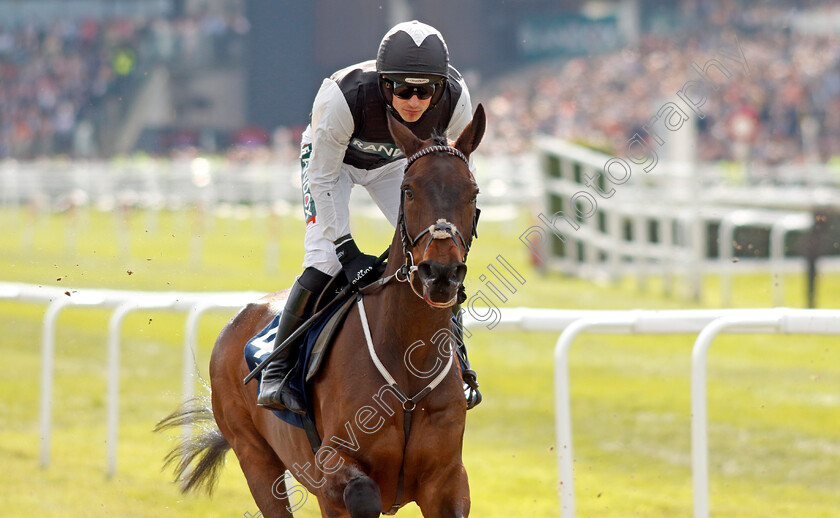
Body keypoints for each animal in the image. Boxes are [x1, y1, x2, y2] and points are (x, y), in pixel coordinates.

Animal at [157, 103, 486, 516]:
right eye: (408, 190)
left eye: (472, 192)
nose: (440, 273)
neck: (409, 357)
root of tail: (236, 322)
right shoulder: (330, 471)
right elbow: (360, 493)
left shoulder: (447, 480)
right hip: (254, 455)